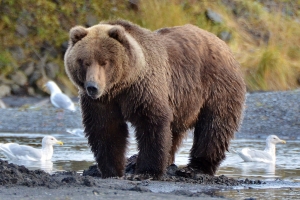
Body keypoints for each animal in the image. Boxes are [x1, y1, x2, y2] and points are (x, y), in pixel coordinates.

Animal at [64, 19, 245, 179]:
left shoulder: (143, 89)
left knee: (214, 126)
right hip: (181, 102)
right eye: (84, 62)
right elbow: (105, 128)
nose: (92, 87)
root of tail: (223, 44)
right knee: (174, 133)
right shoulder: (103, 102)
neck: (122, 84)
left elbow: (152, 122)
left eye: (104, 62)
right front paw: (111, 170)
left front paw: (146, 171)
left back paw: (195, 168)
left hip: (217, 86)